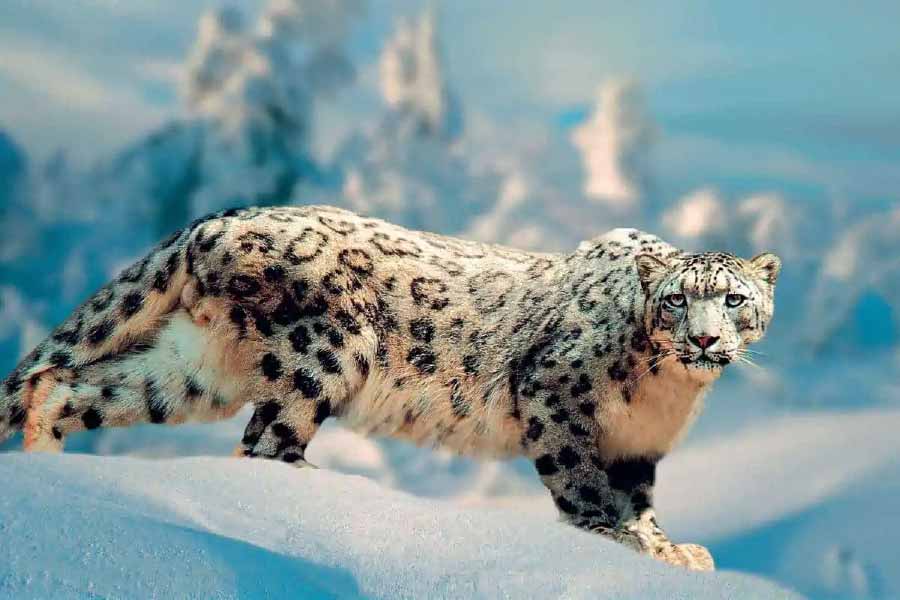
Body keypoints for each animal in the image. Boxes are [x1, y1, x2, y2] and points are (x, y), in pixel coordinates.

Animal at [0, 204, 780, 571]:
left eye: (733, 299)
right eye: (676, 301)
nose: (703, 340)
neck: (666, 394)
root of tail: (214, 221)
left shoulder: (636, 449)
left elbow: (641, 503)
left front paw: (671, 549)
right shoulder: (554, 394)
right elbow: (583, 487)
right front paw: (617, 541)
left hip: (193, 369)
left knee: (66, 384)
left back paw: (45, 462)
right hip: (330, 350)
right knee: (264, 443)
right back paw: (334, 489)